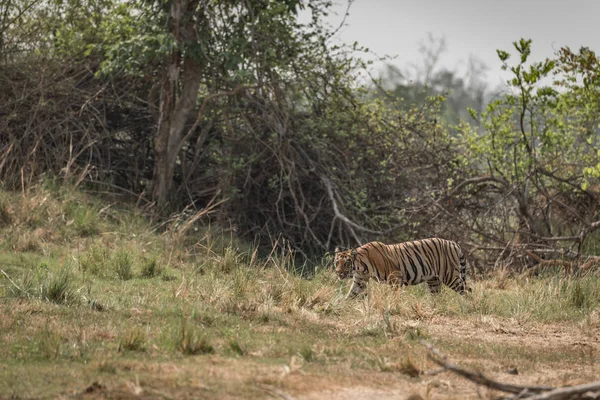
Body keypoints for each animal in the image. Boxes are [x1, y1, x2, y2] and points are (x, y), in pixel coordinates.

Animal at [332, 238, 468, 296]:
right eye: (337, 262)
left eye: (346, 263)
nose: (338, 273)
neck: (361, 267)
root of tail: (453, 243)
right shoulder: (359, 280)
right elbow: (351, 294)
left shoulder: (395, 276)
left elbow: (394, 294)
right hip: (433, 280)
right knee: (437, 295)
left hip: (449, 275)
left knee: (466, 290)